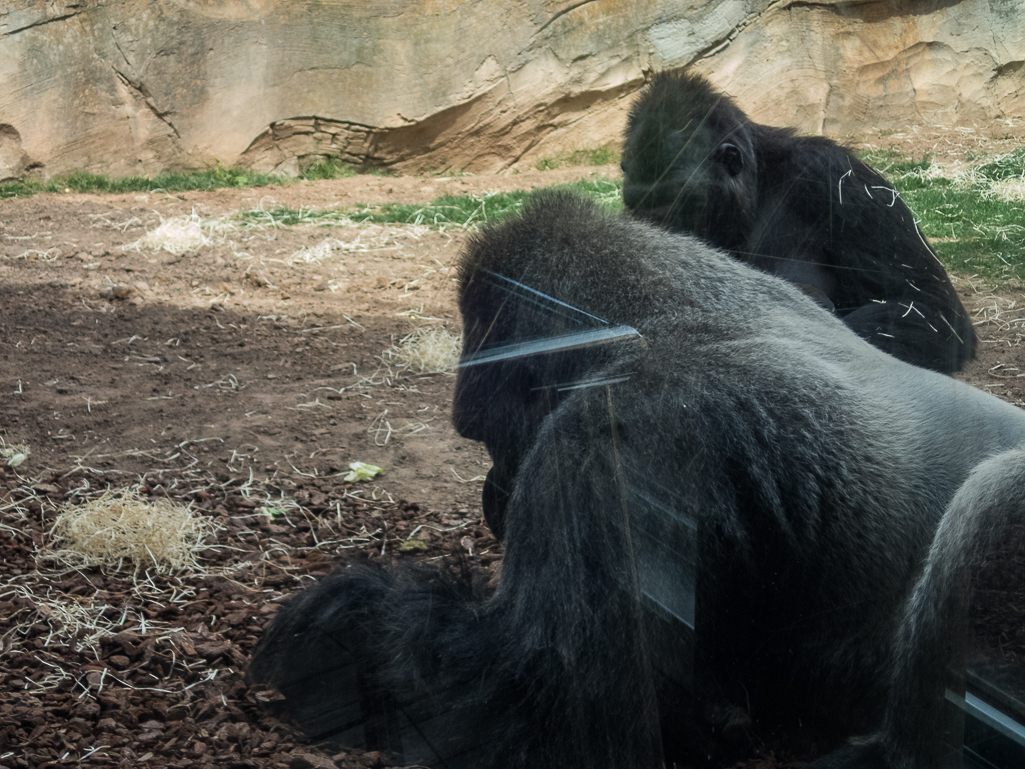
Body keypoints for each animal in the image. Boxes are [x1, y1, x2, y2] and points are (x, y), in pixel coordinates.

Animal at [248, 192, 1025, 769]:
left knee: (989, 501)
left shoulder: (625, 435)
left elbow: (541, 711)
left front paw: (331, 634)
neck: (670, 310)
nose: (493, 497)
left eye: (492, 435)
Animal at [615, 69, 975, 377]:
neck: (758, 186)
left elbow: (925, 302)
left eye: (684, 203)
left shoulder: (837, 177)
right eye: (645, 209)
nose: (673, 239)